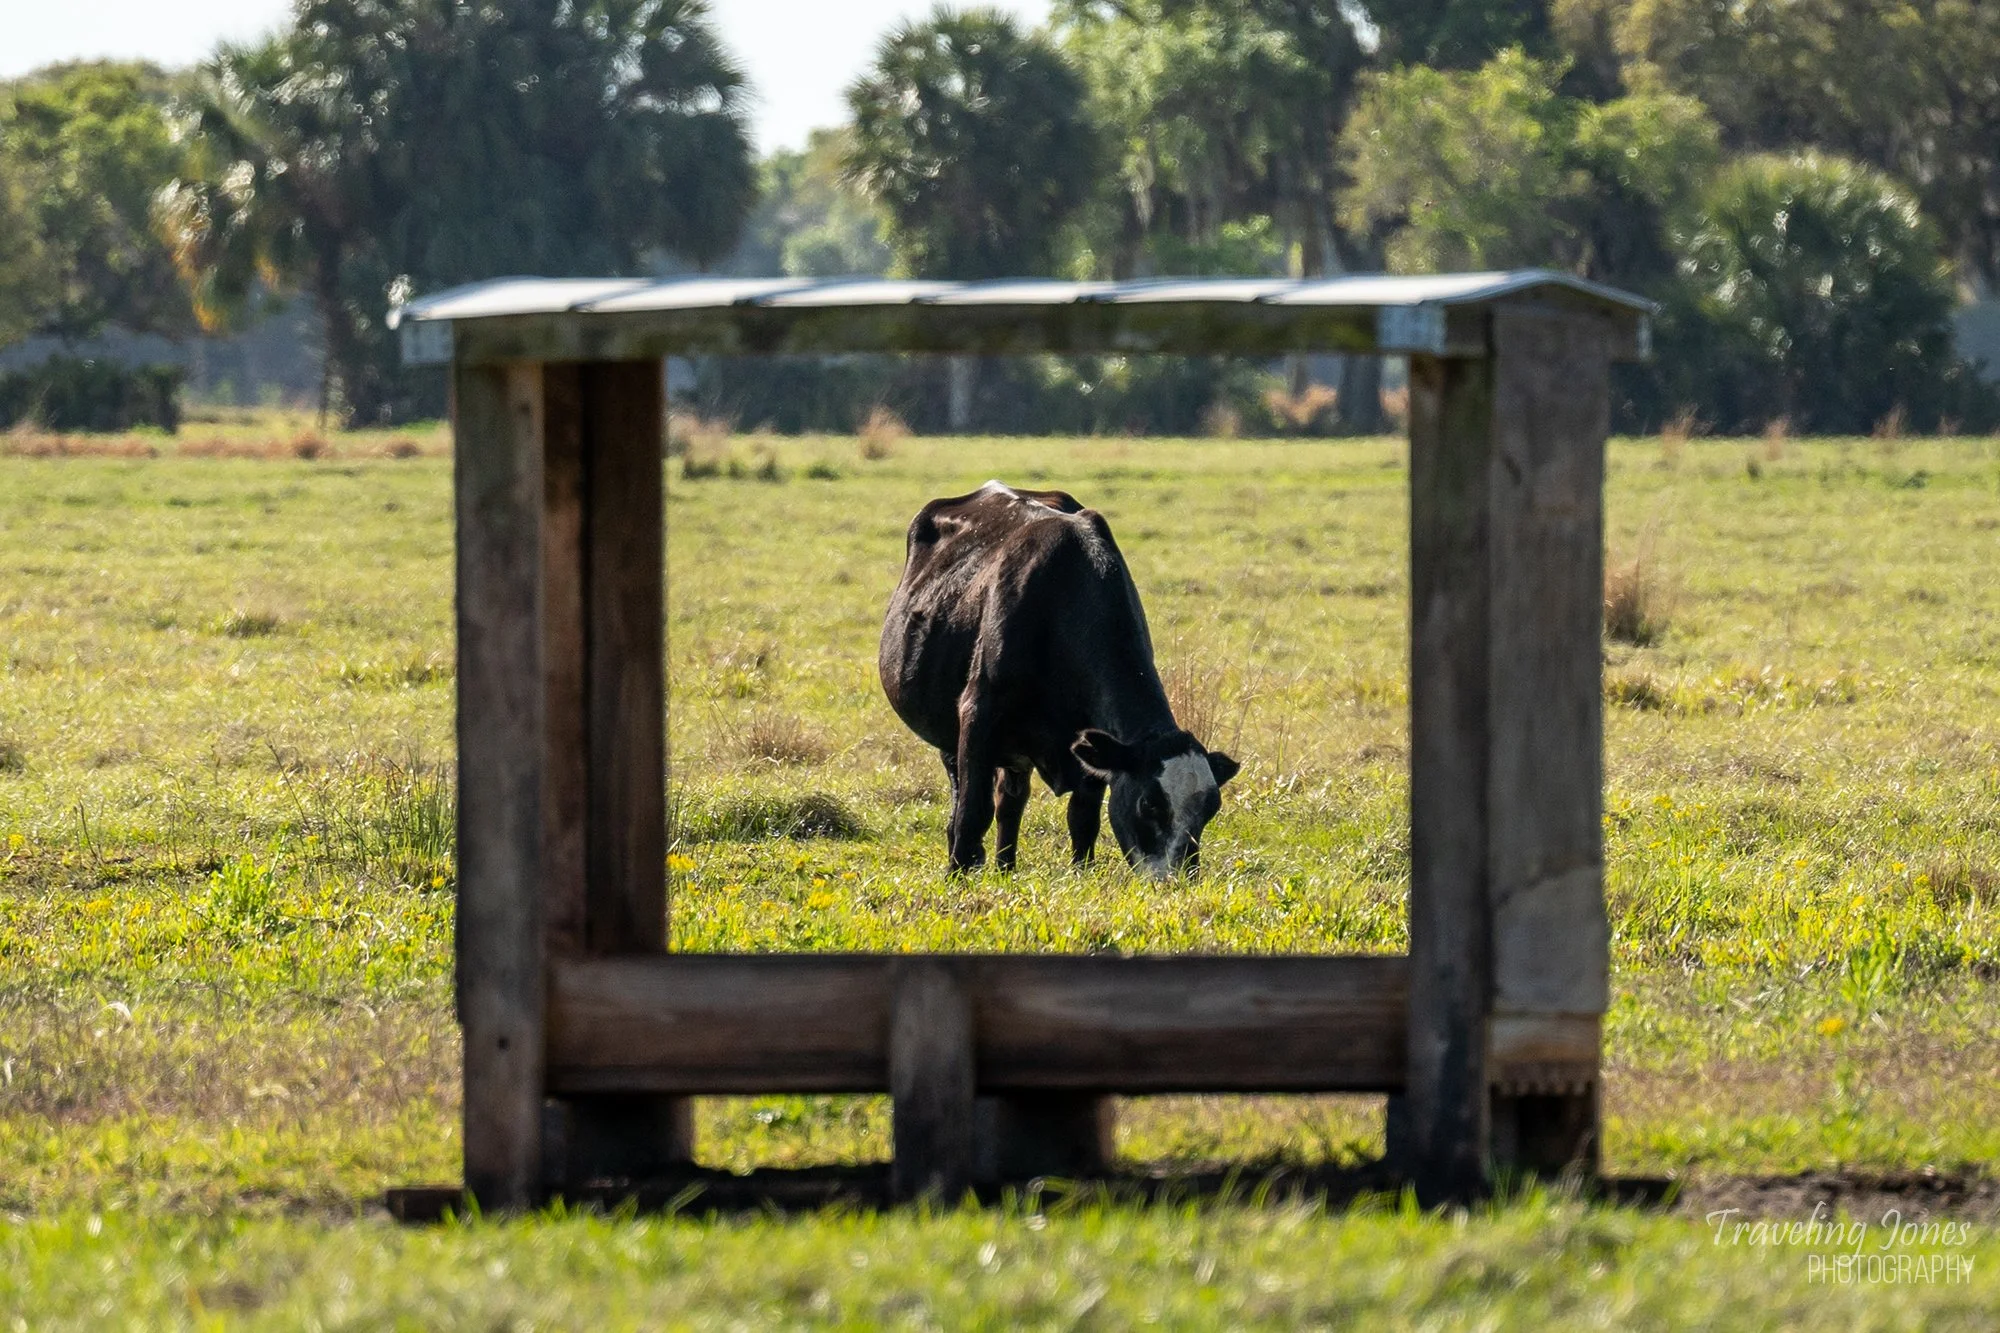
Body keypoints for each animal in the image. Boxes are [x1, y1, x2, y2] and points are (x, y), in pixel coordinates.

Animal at [879, 481, 1239, 878]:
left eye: (1210, 810)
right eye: (1149, 804)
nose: (1176, 878)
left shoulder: (1089, 741)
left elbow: (1083, 817)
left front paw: (1082, 871)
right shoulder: (979, 712)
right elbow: (973, 811)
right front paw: (956, 877)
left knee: (1011, 801)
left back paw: (1006, 868)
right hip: (949, 731)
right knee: (964, 797)